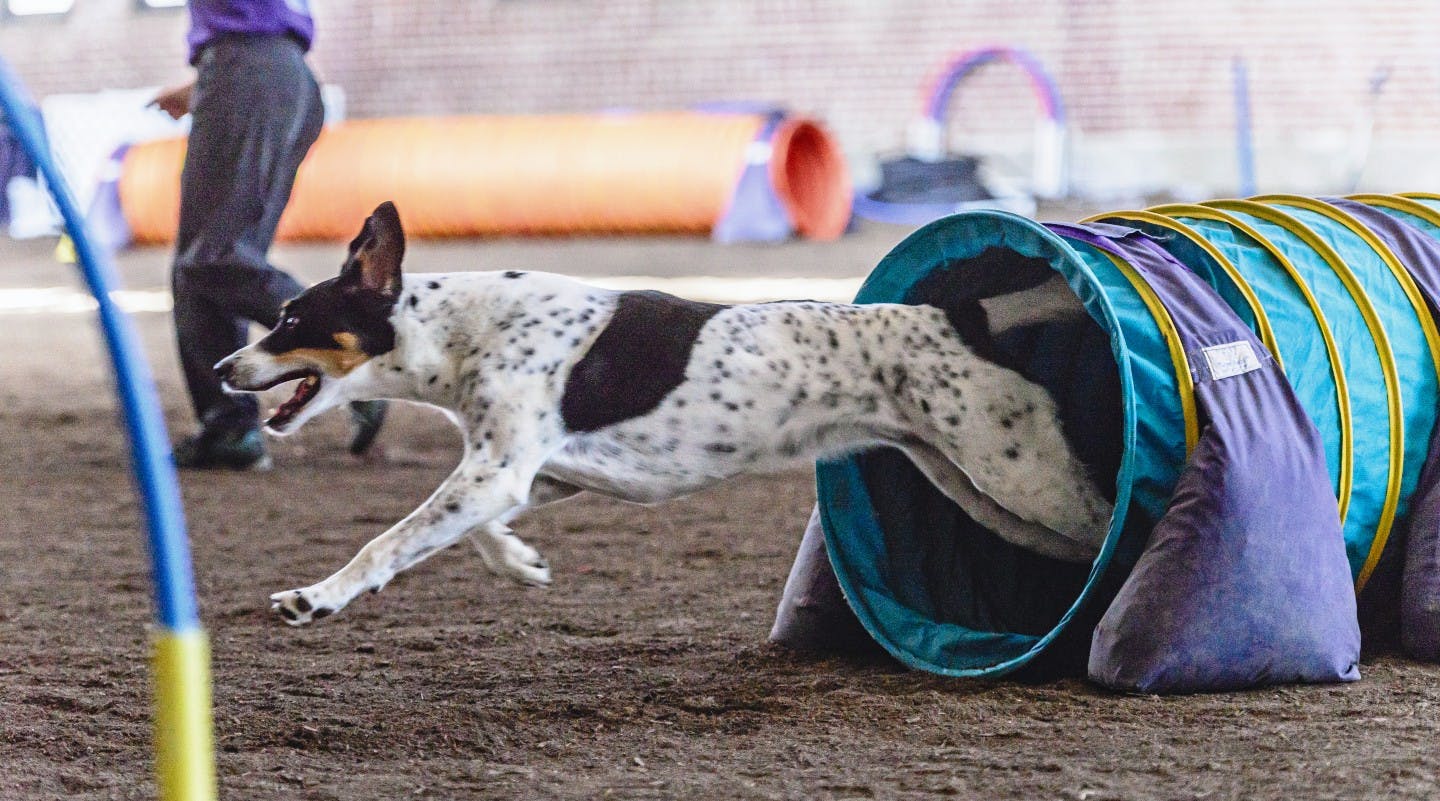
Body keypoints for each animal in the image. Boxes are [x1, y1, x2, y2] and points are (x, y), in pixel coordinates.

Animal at [216, 200, 1111, 625]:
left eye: (291, 319)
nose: (225, 370)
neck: (463, 330)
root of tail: (955, 316)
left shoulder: (499, 470)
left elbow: (390, 541)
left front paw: (317, 596)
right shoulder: (537, 473)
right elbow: (475, 533)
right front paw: (520, 564)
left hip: (1023, 476)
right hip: (982, 488)